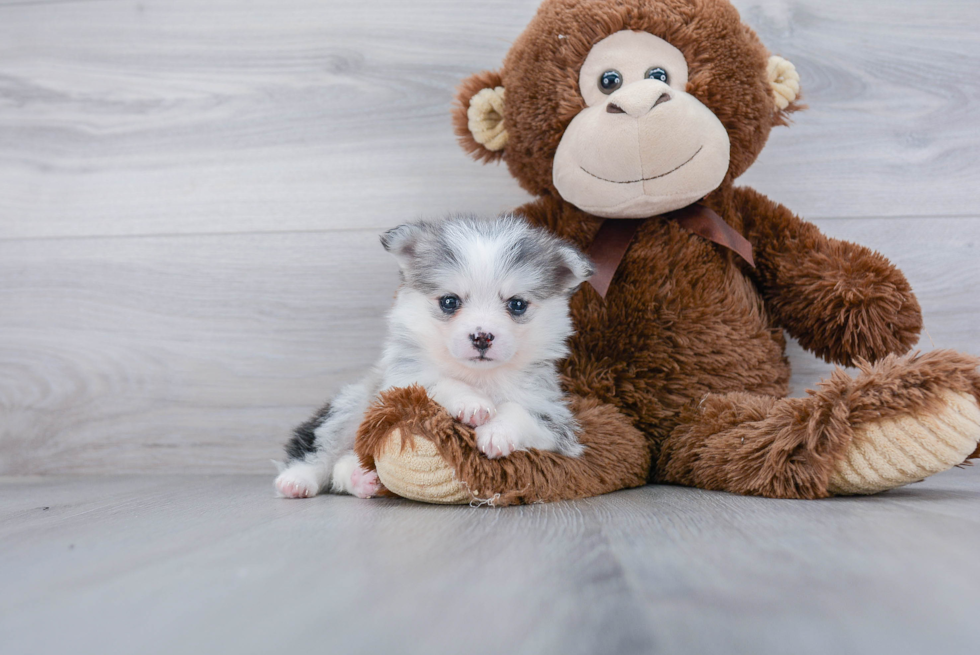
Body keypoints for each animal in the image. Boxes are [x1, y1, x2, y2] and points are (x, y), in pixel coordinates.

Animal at [278, 213, 596, 500]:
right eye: (449, 301)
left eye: (517, 304)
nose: (482, 336)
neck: (480, 377)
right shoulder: (400, 388)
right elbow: (442, 382)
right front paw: (471, 403)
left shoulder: (556, 420)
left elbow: (521, 412)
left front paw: (498, 433)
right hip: (351, 405)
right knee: (321, 447)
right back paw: (298, 479)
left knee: (343, 466)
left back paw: (363, 480)